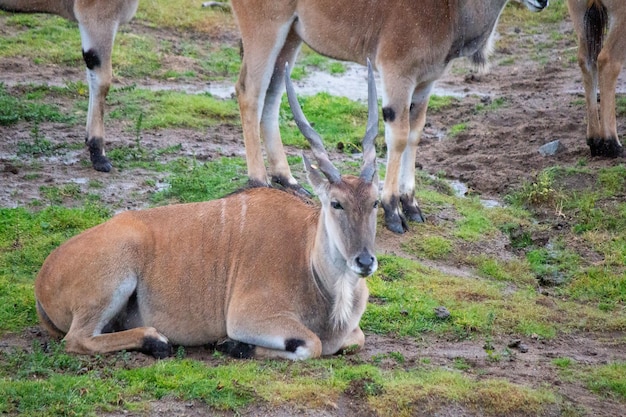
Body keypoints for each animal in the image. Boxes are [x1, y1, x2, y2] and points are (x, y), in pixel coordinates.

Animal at [34, 61, 380, 358]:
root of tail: (43, 277)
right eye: (336, 203)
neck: (309, 259)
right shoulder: (247, 316)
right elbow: (312, 344)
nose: (365, 261)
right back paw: (155, 340)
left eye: (375, 202)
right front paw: (234, 345)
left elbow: (356, 339)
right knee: (76, 339)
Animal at [228, 0, 544, 234]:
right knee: (249, 92)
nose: (542, 2)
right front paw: (393, 210)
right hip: (266, 29)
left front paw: (411, 204)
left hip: (291, 36)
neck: (449, 9)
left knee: (272, 95)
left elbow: (415, 134)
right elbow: (399, 135)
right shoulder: (397, 72)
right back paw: (259, 180)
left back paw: (288, 179)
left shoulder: (425, 83)